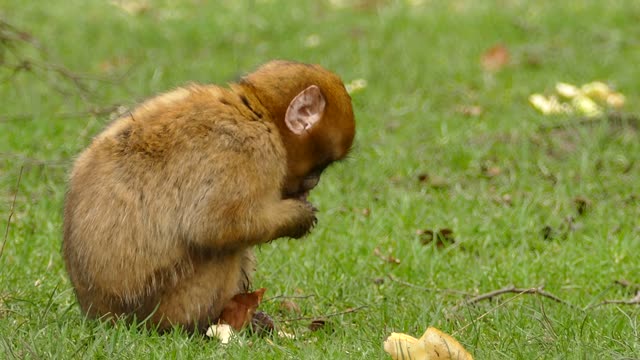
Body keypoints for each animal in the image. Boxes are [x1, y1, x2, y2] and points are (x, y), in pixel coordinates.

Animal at [61, 60, 356, 334]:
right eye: (321, 166)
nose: (313, 183)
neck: (256, 113)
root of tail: (99, 313)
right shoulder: (250, 149)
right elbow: (213, 226)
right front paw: (298, 217)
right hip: (168, 306)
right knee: (222, 249)